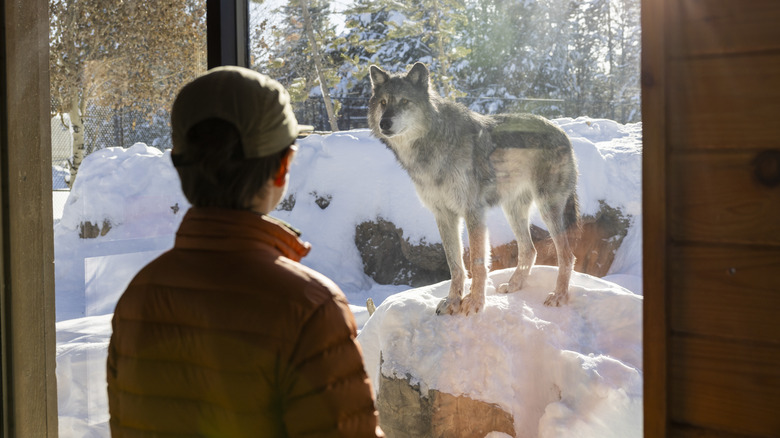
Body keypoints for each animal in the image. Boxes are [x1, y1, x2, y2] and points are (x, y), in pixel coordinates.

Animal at [368, 61, 580, 314]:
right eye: (383, 102)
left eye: (404, 101)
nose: (384, 123)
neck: (432, 145)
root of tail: (563, 133)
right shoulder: (443, 215)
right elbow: (455, 265)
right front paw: (452, 301)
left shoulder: (473, 212)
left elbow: (477, 262)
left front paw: (475, 302)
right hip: (513, 211)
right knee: (530, 250)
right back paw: (514, 285)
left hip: (548, 209)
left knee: (566, 255)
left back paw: (559, 296)